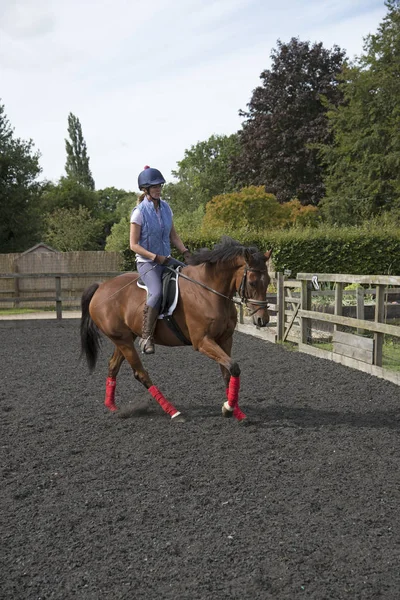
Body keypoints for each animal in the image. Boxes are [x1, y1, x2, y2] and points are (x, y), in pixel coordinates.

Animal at [79, 236, 272, 422]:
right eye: (253, 283)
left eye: (269, 281)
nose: (262, 320)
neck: (208, 291)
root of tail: (101, 287)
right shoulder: (202, 341)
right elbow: (233, 366)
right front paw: (229, 408)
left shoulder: (225, 339)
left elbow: (229, 372)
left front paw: (235, 411)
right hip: (123, 340)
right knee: (141, 373)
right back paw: (173, 412)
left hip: (125, 338)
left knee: (113, 365)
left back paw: (112, 406)